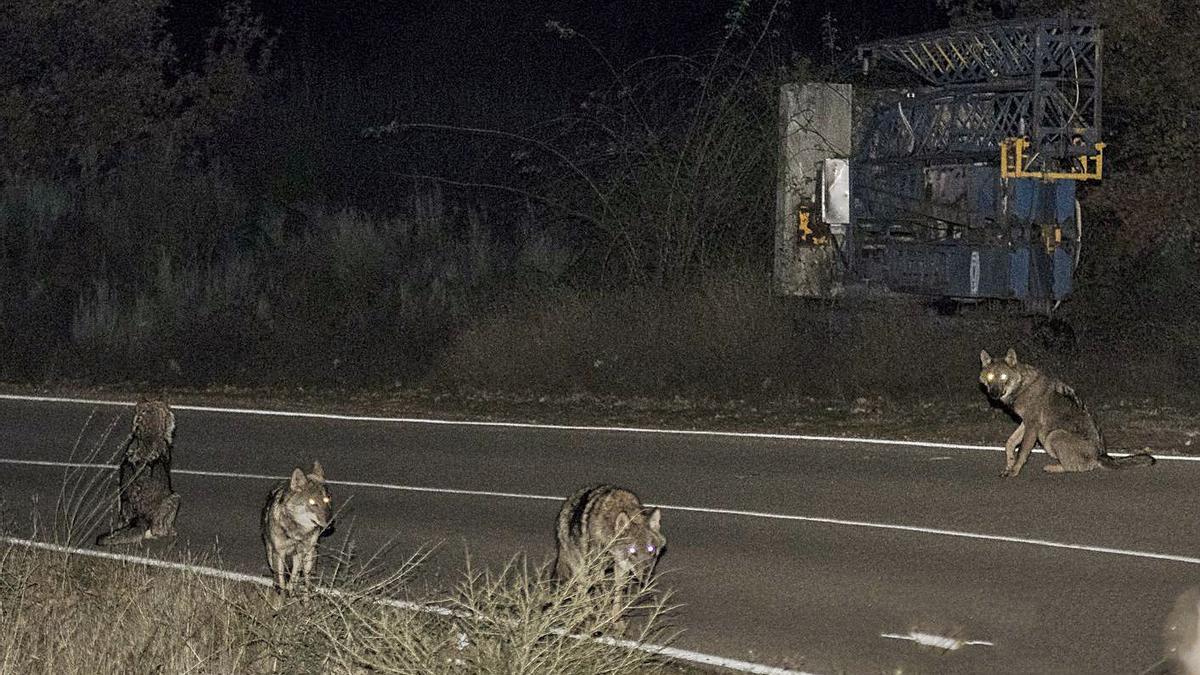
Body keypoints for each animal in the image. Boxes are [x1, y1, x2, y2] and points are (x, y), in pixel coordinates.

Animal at [264, 458, 333, 590]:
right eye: (312, 502)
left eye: (327, 500)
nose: (331, 523)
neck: (297, 532)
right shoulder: (279, 554)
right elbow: (281, 581)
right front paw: (281, 593)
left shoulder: (300, 553)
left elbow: (294, 580)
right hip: (270, 554)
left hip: (309, 554)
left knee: (306, 575)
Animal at [552, 480, 667, 629]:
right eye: (632, 551)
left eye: (651, 549)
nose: (646, 578)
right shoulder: (597, 569)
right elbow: (603, 595)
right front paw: (604, 615)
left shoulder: (622, 567)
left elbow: (618, 595)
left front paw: (617, 621)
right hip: (582, 569)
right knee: (583, 591)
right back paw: (588, 616)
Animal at [979, 348, 1156, 475]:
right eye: (990, 376)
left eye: (1003, 377)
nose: (993, 394)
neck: (1022, 386)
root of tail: (1100, 455)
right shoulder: (1026, 423)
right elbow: (1009, 443)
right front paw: (1009, 463)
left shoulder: (1032, 426)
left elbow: (1022, 452)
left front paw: (1014, 471)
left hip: (1053, 435)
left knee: (1081, 467)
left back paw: (1053, 467)